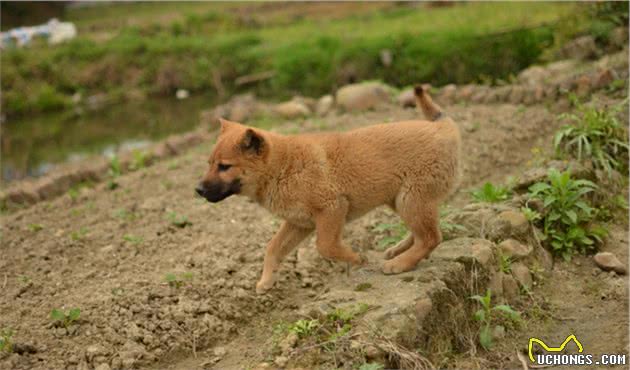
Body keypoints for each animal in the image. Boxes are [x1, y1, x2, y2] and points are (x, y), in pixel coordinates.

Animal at [198, 85, 464, 294]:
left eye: (224, 166)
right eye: (209, 164)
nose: (198, 190)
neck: (283, 168)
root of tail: (443, 127)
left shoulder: (331, 208)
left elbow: (325, 245)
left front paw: (356, 258)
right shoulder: (298, 222)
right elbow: (273, 248)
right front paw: (266, 281)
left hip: (412, 198)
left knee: (431, 237)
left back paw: (401, 263)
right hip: (402, 199)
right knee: (424, 233)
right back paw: (398, 252)